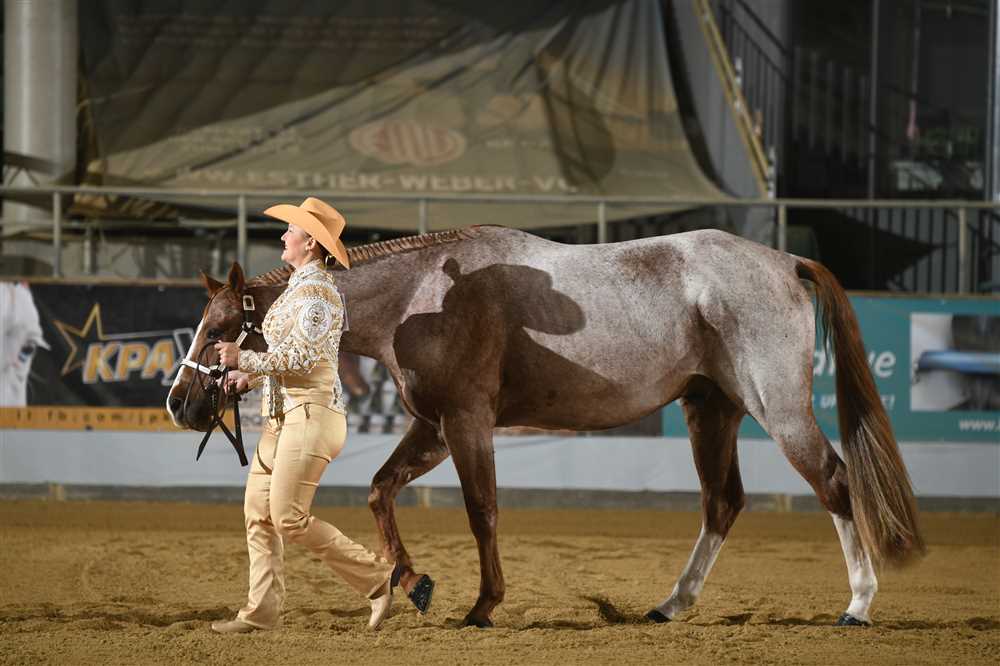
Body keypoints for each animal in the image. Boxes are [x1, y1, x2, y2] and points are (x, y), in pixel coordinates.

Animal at [167, 225, 924, 629]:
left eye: (222, 328)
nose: (180, 403)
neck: (424, 296)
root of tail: (785, 262)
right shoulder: (434, 427)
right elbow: (381, 490)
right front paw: (411, 582)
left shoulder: (467, 423)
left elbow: (483, 511)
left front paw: (482, 604)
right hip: (711, 410)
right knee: (723, 502)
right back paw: (670, 604)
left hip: (778, 408)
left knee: (833, 482)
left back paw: (858, 604)